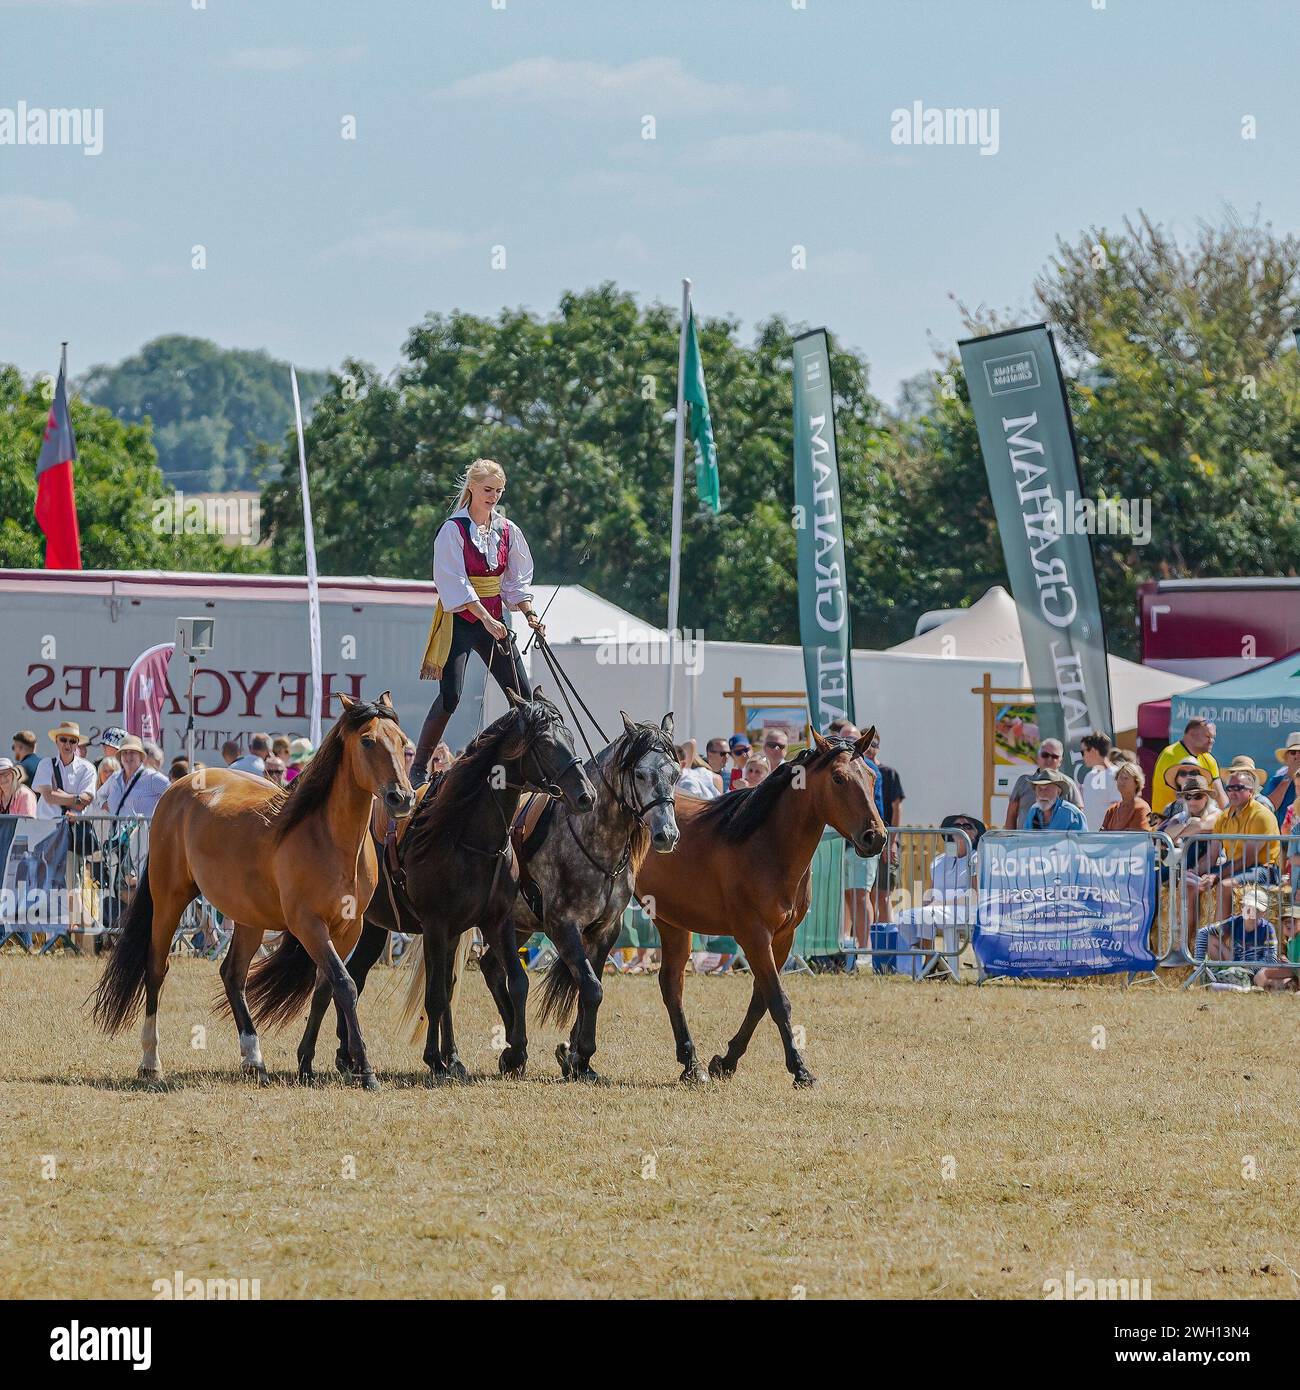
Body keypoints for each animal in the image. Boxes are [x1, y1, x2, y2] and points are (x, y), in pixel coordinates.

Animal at [91, 689, 414, 1089]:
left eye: (403, 743)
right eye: (367, 741)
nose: (402, 798)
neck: (330, 839)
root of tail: (178, 788)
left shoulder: (348, 928)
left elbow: (325, 989)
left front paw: (306, 1063)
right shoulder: (309, 925)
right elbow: (345, 984)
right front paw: (365, 1069)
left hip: (248, 918)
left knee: (232, 975)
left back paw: (253, 1058)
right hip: (169, 899)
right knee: (156, 969)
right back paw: (151, 1061)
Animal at [287, 689, 597, 1078]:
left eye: (569, 736)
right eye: (544, 742)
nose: (586, 795)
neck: (466, 835)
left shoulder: (494, 922)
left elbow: (512, 983)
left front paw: (502, 1054)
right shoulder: (437, 925)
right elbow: (435, 995)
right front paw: (439, 1059)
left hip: (370, 927)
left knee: (351, 975)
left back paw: (348, 1056)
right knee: (330, 982)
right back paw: (320, 1057)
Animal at [636, 722, 889, 1089]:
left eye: (870, 776)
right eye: (838, 778)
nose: (876, 838)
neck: (763, 844)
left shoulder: (782, 938)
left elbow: (761, 1000)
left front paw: (725, 1061)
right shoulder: (754, 936)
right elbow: (778, 1001)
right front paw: (800, 1069)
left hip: (672, 922)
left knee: (671, 984)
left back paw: (690, 1064)